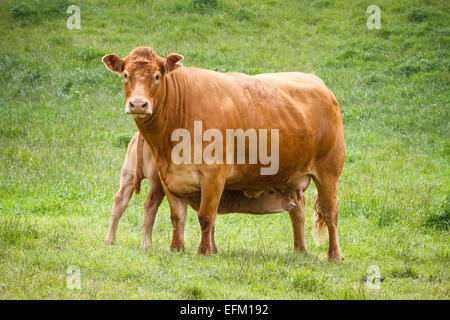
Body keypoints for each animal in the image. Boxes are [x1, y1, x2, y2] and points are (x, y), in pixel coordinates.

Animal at [105, 131, 296, 249]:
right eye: (272, 191)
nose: (292, 200)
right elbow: (209, 224)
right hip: (157, 183)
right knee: (149, 206)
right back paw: (147, 243)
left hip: (127, 176)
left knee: (120, 200)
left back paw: (110, 239)